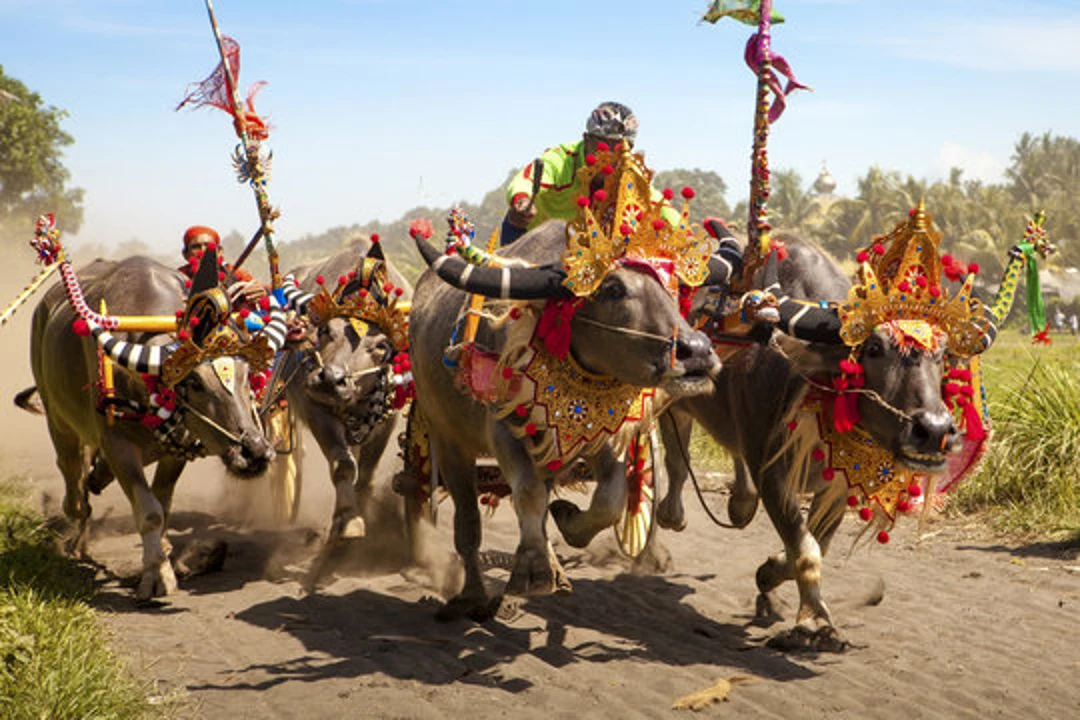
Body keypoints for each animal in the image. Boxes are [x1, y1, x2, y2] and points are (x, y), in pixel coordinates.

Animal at [28, 250, 287, 600]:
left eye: (248, 375)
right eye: (193, 382)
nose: (255, 452)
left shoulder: (177, 446)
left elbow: (163, 507)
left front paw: (163, 557)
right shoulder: (117, 445)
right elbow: (149, 512)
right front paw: (157, 577)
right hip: (57, 416)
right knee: (70, 471)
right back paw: (77, 521)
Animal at [408, 218, 721, 621]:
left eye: (674, 287)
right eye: (613, 288)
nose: (696, 351)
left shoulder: (594, 434)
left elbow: (611, 498)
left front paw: (569, 523)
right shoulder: (502, 429)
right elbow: (527, 492)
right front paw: (536, 571)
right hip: (447, 439)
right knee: (468, 523)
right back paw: (474, 595)